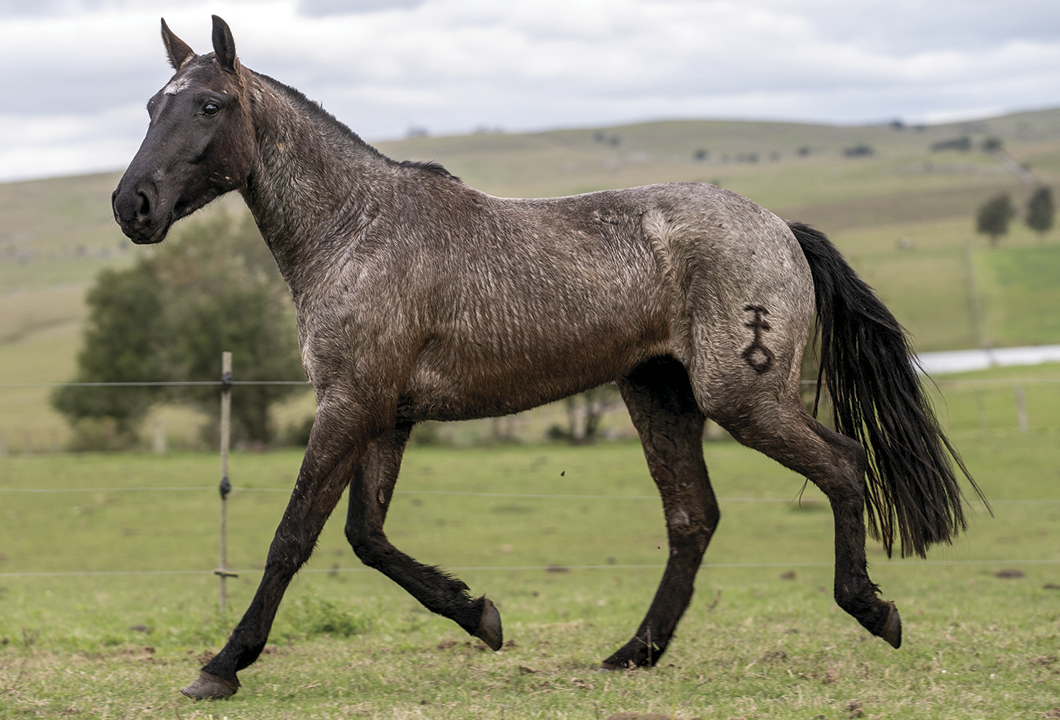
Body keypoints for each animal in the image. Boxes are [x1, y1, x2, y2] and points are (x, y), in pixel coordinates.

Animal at [111, 16, 979, 699]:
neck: (357, 229)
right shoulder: (384, 415)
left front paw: (221, 666)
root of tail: (778, 227)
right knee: (693, 518)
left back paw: (874, 610)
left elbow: (295, 537)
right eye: (155, 104)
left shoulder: (350, 405)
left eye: (210, 104)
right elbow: (367, 537)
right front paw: (480, 615)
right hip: (658, 395)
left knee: (841, 465)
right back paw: (633, 654)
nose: (131, 206)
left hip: (744, 397)